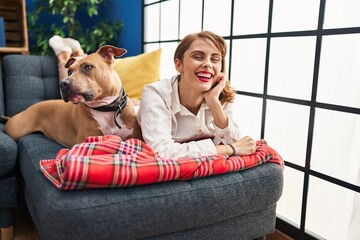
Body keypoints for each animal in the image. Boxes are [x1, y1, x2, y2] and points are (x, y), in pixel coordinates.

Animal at [4, 44, 142, 146]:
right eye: (69, 71)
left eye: (87, 67)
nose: (63, 83)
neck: (106, 109)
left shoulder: (136, 136)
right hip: (16, 129)